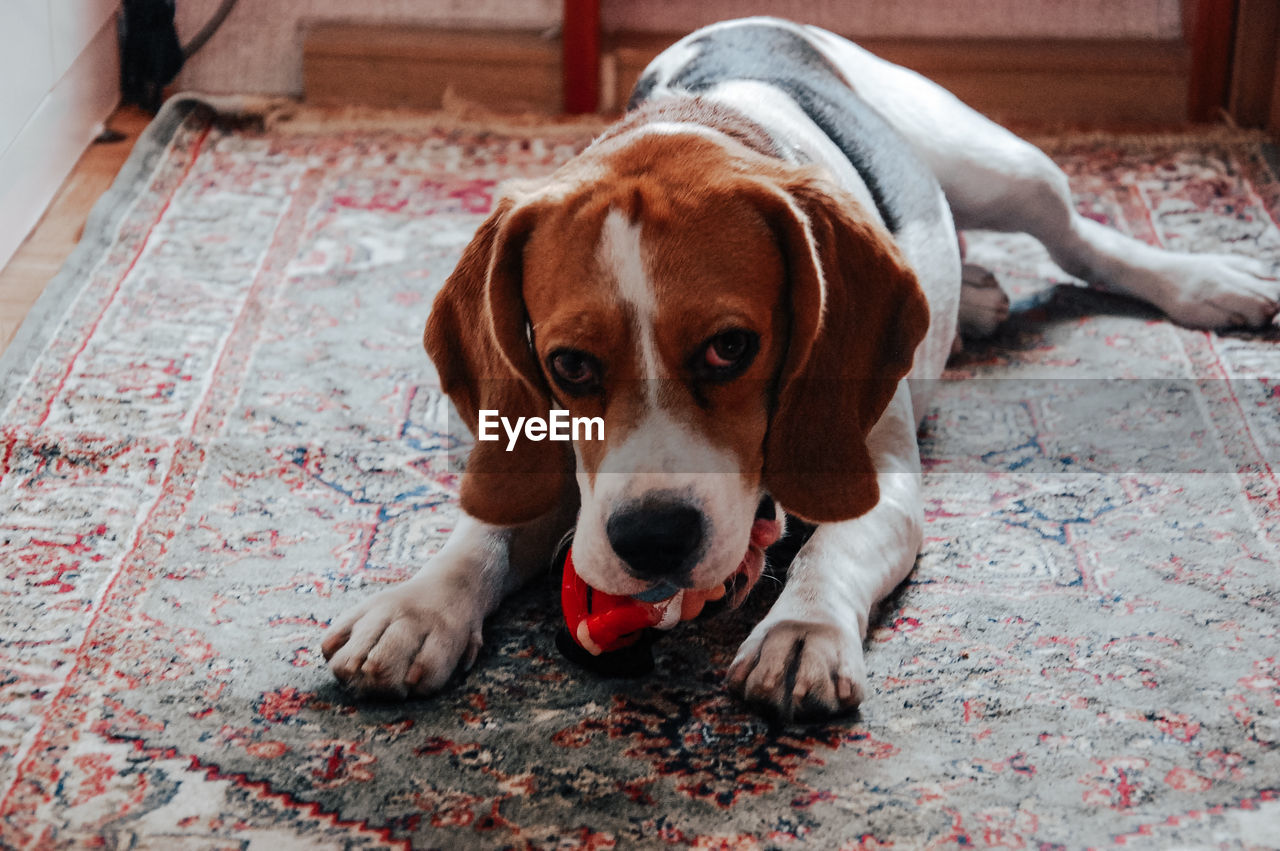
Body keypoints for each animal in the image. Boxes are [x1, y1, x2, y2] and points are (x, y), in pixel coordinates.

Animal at [322, 18, 1280, 716]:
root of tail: (754, 20)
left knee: (1080, 236)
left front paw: (804, 631)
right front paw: (417, 607)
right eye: (568, 364)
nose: (653, 540)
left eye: (731, 346)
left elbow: (835, 547)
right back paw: (975, 300)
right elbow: (484, 530)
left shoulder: (879, 479)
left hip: (999, 165)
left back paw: (1208, 282)